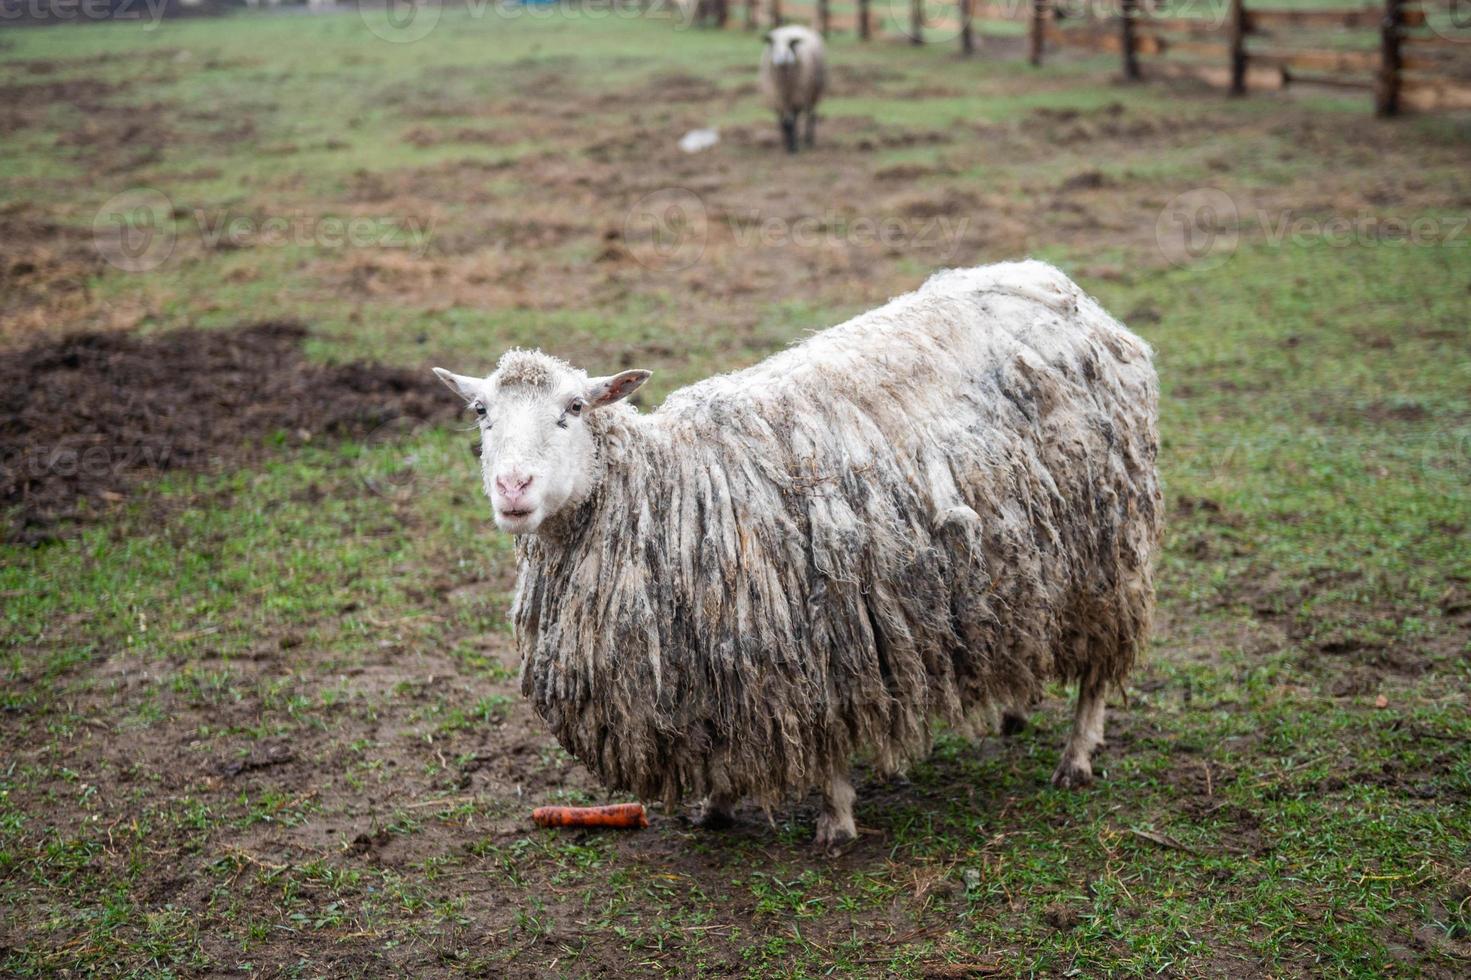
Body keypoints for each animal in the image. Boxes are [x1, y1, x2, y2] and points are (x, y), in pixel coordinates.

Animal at [429, 261, 1165, 847]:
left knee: (1099, 670)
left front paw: (835, 822)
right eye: (480, 412)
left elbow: (827, 736)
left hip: (1104, 555)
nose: (513, 487)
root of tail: (1058, 286)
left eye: (576, 407)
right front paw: (716, 806)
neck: (670, 488)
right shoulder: (709, 667)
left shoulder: (817, 641)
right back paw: (1013, 710)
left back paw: (1076, 757)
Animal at [764, 24, 823, 153]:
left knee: (810, 115)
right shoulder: (776, 98)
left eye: (790, 44)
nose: (782, 58)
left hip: (812, 93)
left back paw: (808, 140)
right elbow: (784, 122)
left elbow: (792, 121)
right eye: (774, 45)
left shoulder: (797, 97)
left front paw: (793, 147)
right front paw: (787, 144)